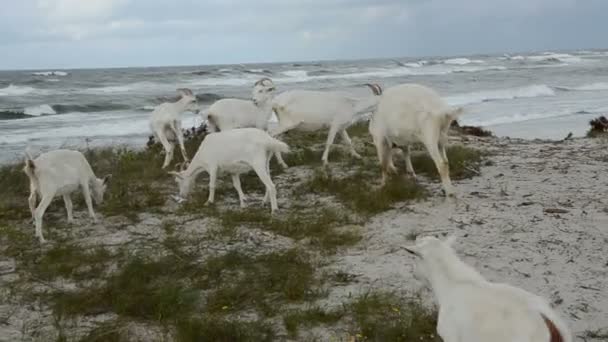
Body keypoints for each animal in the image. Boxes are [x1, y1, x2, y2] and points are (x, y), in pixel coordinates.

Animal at [251, 80, 382, 166]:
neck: (351, 105)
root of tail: (276, 102)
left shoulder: (341, 127)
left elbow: (348, 141)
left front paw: (357, 156)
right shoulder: (334, 124)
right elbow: (329, 142)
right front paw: (324, 161)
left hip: (285, 126)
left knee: (277, 138)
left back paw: (282, 164)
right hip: (287, 124)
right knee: (271, 134)